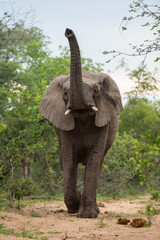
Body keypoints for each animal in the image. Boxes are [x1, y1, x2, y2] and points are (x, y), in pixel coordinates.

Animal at [38, 28, 122, 218]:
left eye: (96, 90)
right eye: (65, 93)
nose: (68, 32)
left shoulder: (103, 123)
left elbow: (94, 159)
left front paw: (88, 214)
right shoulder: (63, 127)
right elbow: (68, 159)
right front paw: (75, 205)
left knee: (98, 164)